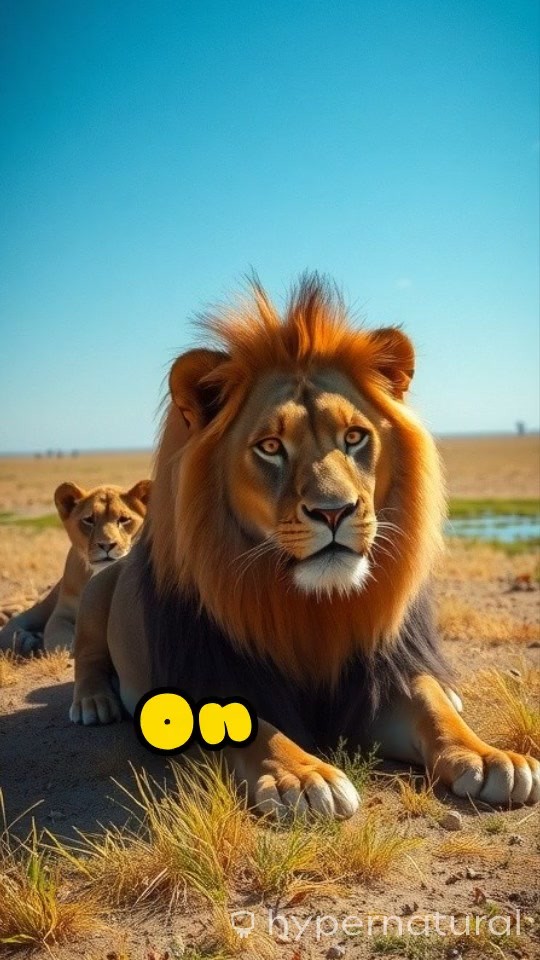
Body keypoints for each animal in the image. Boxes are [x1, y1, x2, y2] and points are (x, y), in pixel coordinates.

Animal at [0, 480, 151, 655]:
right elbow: (59, 639)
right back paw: (26, 640)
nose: (107, 545)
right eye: (89, 520)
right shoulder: (62, 614)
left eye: (124, 519)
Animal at [70, 276, 539, 815]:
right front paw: (303, 776)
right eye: (271, 447)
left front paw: (489, 756)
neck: (311, 604)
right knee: (87, 655)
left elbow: (432, 708)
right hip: (100, 584)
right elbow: (255, 729)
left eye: (354, 437)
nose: (334, 512)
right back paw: (94, 701)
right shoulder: (204, 681)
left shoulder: (375, 681)